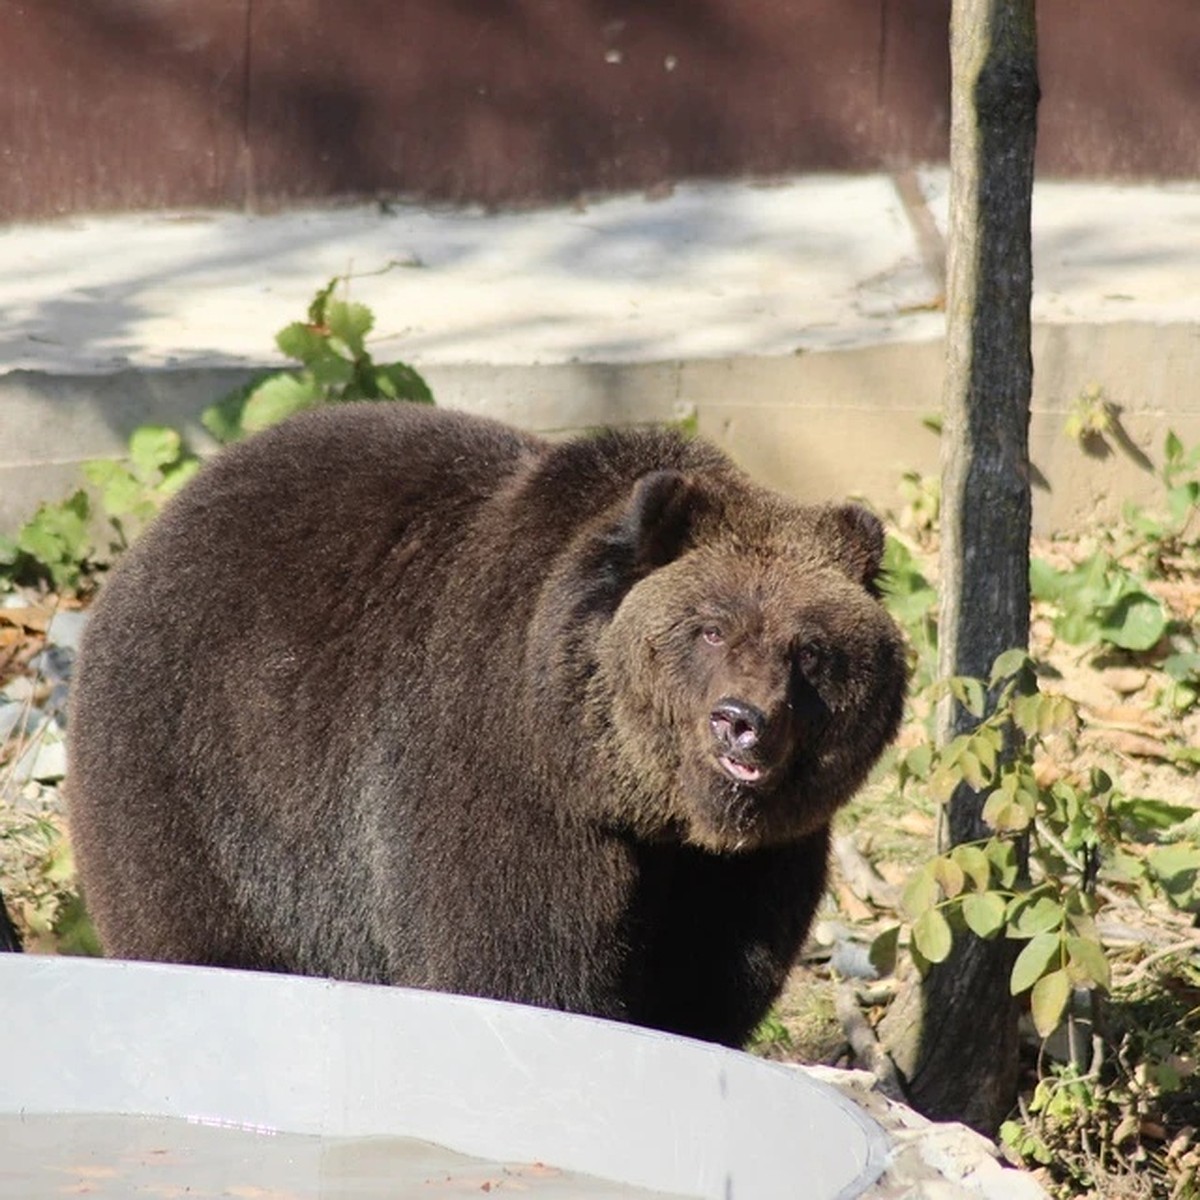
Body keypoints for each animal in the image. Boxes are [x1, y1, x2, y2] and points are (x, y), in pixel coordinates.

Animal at [65, 400, 902, 1041]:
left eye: (811, 649)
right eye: (711, 628)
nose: (742, 721)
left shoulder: (747, 866)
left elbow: (708, 981)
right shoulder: (500, 783)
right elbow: (515, 962)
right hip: (194, 777)